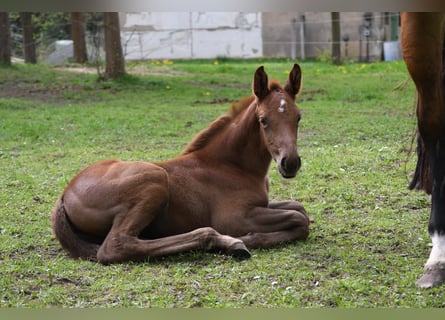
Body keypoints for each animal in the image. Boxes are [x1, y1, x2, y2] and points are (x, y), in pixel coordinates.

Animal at [51, 63, 308, 264]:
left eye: (298, 117)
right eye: (263, 120)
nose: (290, 163)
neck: (232, 165)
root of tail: (64, 195)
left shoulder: (263, 203)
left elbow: (299, 208)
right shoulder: (235, 217)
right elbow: (300, 220)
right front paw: (248, 238)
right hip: (153, 179)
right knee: (115, 246)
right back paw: (227, 242)